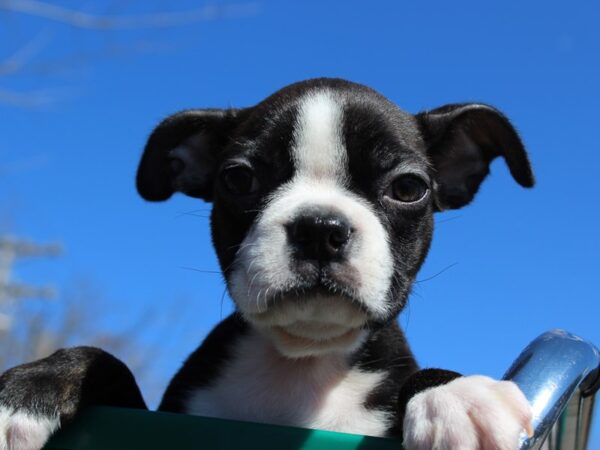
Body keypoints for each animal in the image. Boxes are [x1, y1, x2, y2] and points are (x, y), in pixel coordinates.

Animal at [0, 78, 536, 450]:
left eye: (409, 187)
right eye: (238, 179)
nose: (320, 228)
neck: (302, 362)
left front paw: (459, 394)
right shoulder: (164, 414)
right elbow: (104, 358)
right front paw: (30, 389)